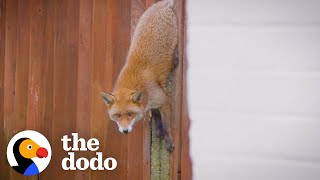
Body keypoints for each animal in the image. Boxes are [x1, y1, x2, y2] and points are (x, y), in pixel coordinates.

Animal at [100, 0, 178, 152]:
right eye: (117, 115)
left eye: (130, 114)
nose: (125, 131)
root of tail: (160, 4)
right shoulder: (153, 103)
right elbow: (156, 115)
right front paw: (159, 131)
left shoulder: (165, 99)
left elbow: (166, 125)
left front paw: (168, 141)